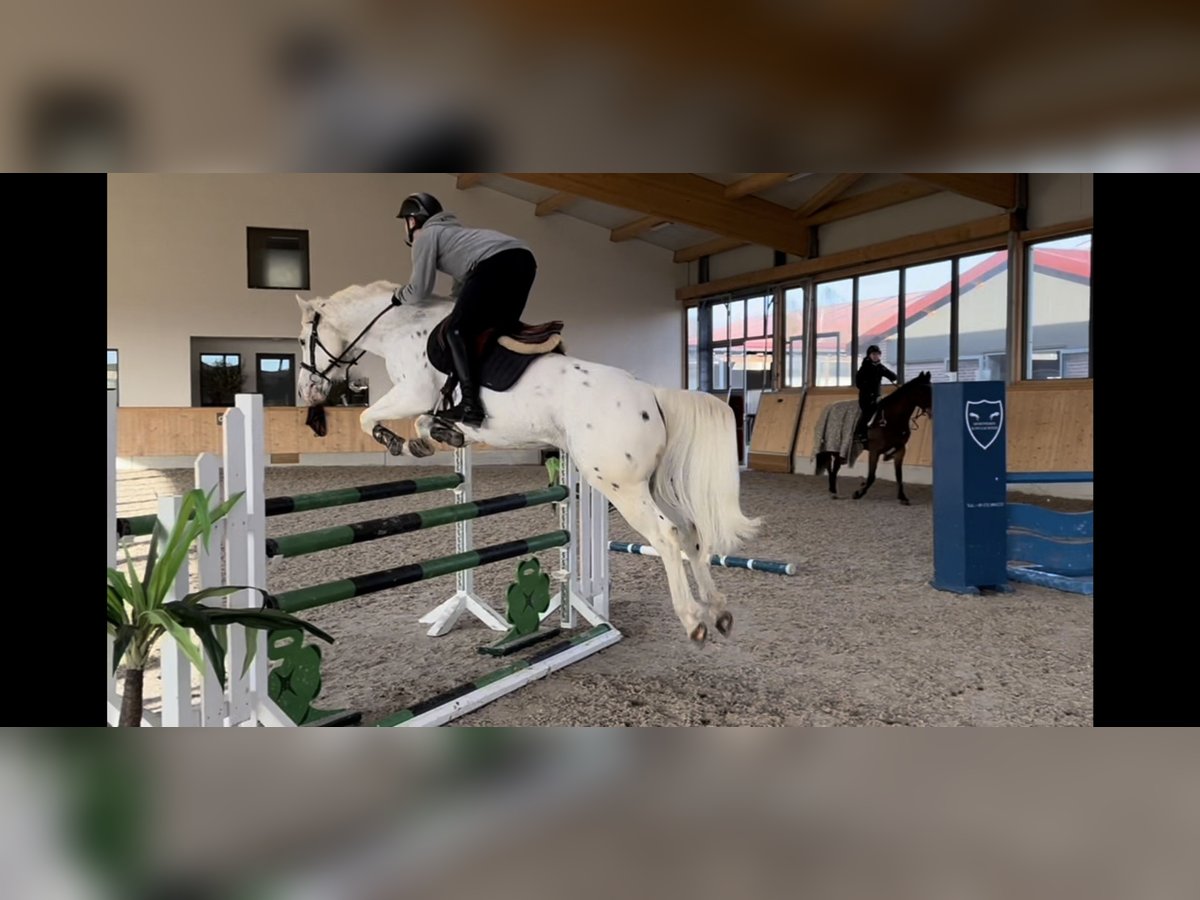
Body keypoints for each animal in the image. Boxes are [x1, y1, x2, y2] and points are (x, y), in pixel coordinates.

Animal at [294, 282, 753, 643]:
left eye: (301, 342)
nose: (307, 392)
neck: (403, 329)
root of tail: (651, 393)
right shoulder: (424, 402)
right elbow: (426, 423)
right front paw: (436, 437)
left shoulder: (413, 393)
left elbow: (370, 417)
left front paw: (402, 443)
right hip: (652, 483)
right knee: (691, 533)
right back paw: (719, 611)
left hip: (619, 485)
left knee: (667, 536)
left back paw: (693, 619)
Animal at [811, 367, 931, 508]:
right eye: (923, 389)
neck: (891, 418)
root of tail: (829, 407)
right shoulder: (874, 451)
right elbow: (872, 476)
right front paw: (858, 493)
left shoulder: (900, 450)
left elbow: (899, 475)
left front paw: (902, 497)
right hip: (835, 448)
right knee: (831, 468)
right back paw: (833, 491)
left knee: (834, 468)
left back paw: (833, 491)